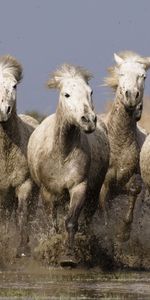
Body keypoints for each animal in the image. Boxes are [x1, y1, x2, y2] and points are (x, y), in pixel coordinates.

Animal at [27, 63, 109, 268]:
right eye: (67, 94)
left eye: (90, 91)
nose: (88, 120)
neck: (62, 153)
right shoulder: (48, 192)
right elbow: (53, 223)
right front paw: (54, 248)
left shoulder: (79, 187)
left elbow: (71, 222)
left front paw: (68, 256)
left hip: (94, 192)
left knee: (87, 218)